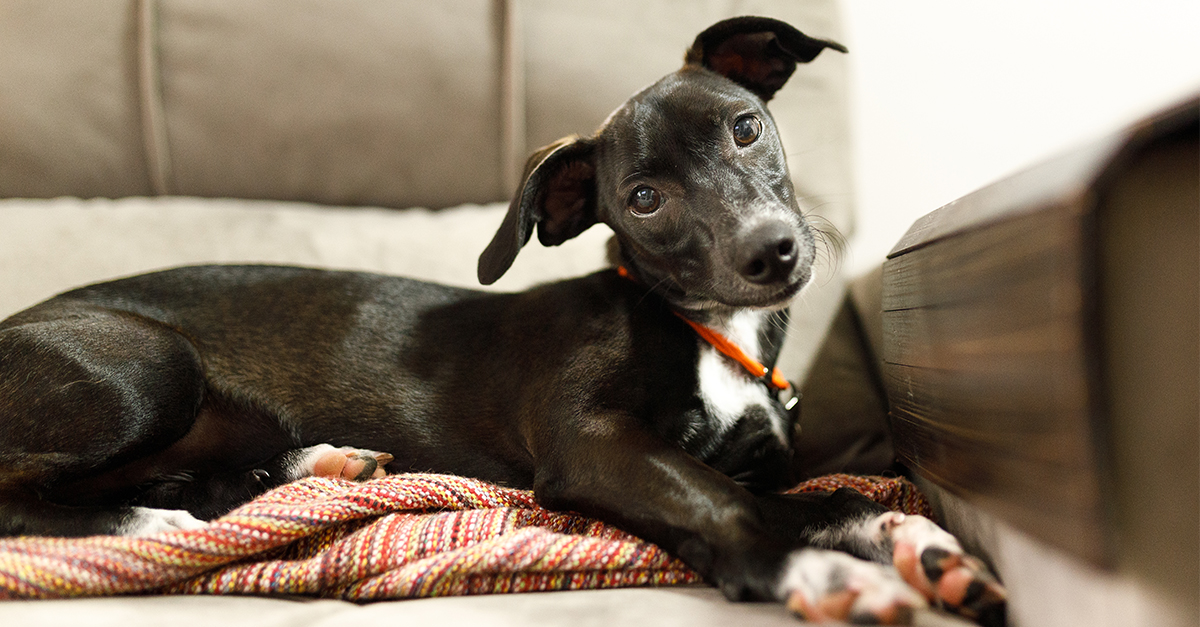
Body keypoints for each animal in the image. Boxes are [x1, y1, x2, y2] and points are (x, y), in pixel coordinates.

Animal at [2, 17, 1003, 619]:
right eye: (642, 200)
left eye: (746, 127)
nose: (774, 253)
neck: (707, 330)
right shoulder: (595, 442)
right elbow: (719, 501)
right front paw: (820, 572)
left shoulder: (746, 464)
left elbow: (831, 495)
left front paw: (918, 544)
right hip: (149, 364)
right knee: (27, 492)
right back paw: (157, 527)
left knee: (194, 477)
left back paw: (308, 466)